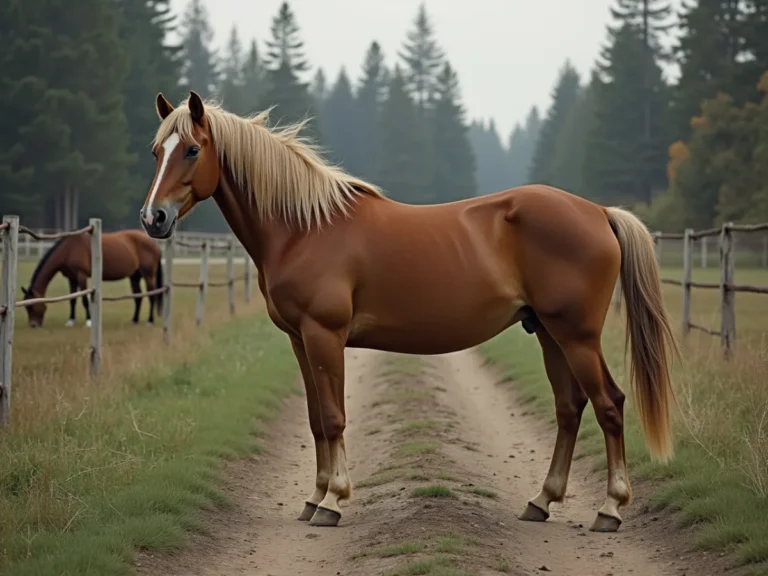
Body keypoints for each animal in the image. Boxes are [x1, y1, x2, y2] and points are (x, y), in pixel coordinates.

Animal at [21, 229, 164, 328]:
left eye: (32, 306)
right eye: (26, 307)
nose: (33, 325)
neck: (68, 249)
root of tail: (153, 243)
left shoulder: (81, 276)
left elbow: (84, 299)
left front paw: (89, 321)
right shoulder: (71, 278)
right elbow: (72, 299)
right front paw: (70, 321)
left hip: (148, 275)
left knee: (152, 296)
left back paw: (150, 321)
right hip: (134, 277)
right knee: (138, 297)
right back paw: (134, 320)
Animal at [139, 91, 677, 533]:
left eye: (192, 149)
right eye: (157, 152)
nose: (153, 218)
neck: (304, 229)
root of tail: (599, 213)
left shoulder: (324, 335)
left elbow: (333, 417)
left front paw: (333, 501)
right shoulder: (299, 339)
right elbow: (315, 419)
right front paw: (314, 498)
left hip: (577, 335)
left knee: (609, 404)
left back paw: (610, 509)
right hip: (548, 332)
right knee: (570, 407)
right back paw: (541, 501)